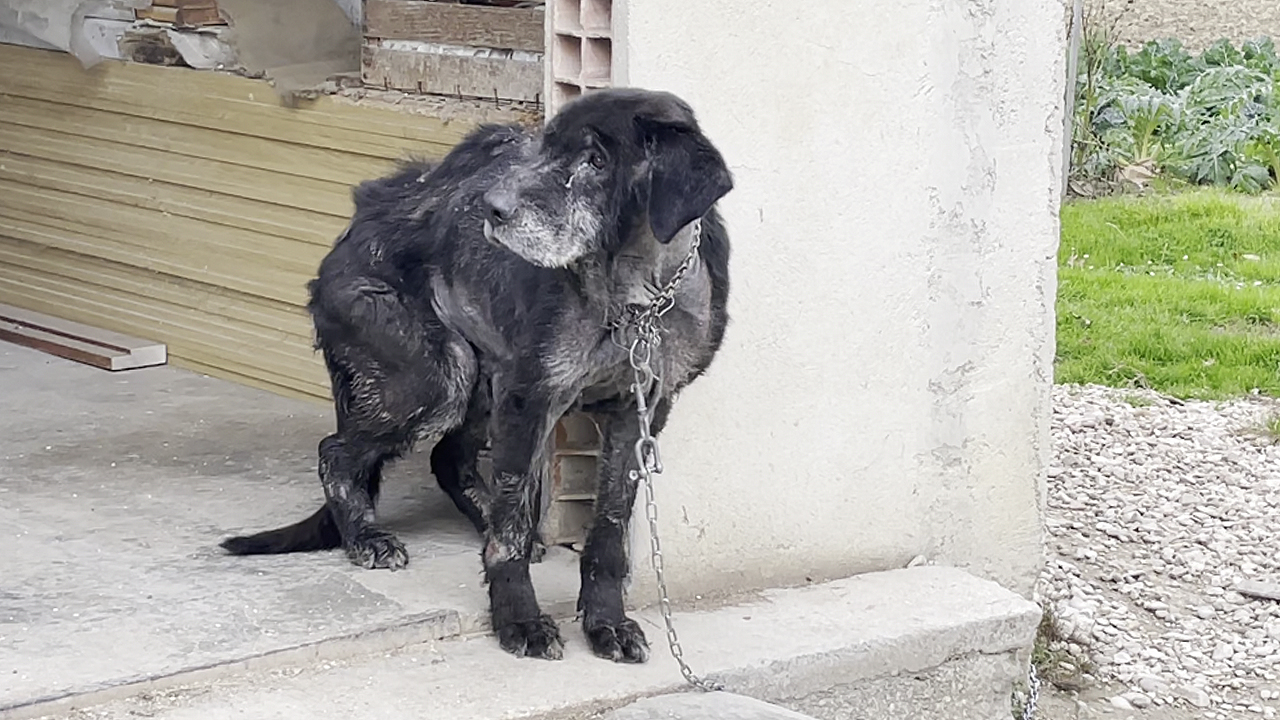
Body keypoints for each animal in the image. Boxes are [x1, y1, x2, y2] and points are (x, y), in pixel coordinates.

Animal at [222, 89, 732, 661]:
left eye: (596, 161)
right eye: (542, 148)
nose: (492, 209)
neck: (636, 298)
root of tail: (356, 224)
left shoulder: (639, 411)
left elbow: (608, 532)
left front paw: (607, 623)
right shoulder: (531, 397)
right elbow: (510, 534)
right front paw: (520, 621)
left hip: (483, 379)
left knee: (446, 458)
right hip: (438, 378)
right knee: (336, 452)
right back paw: (366, 539)